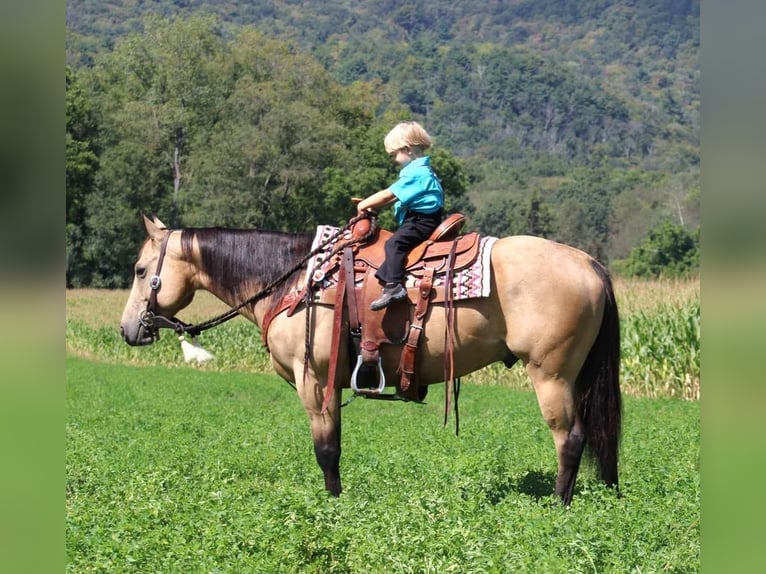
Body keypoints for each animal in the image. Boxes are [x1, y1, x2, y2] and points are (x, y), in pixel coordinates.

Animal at [121, 215, 624, 504]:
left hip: (552, 375)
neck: (294, 282)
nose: (128, 330)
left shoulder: (314, 380)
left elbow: (326, 450)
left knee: (570, 439)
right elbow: (335, 447)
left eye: (141, 271)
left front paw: (333, 506)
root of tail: (589, 263)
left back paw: (558, 506)